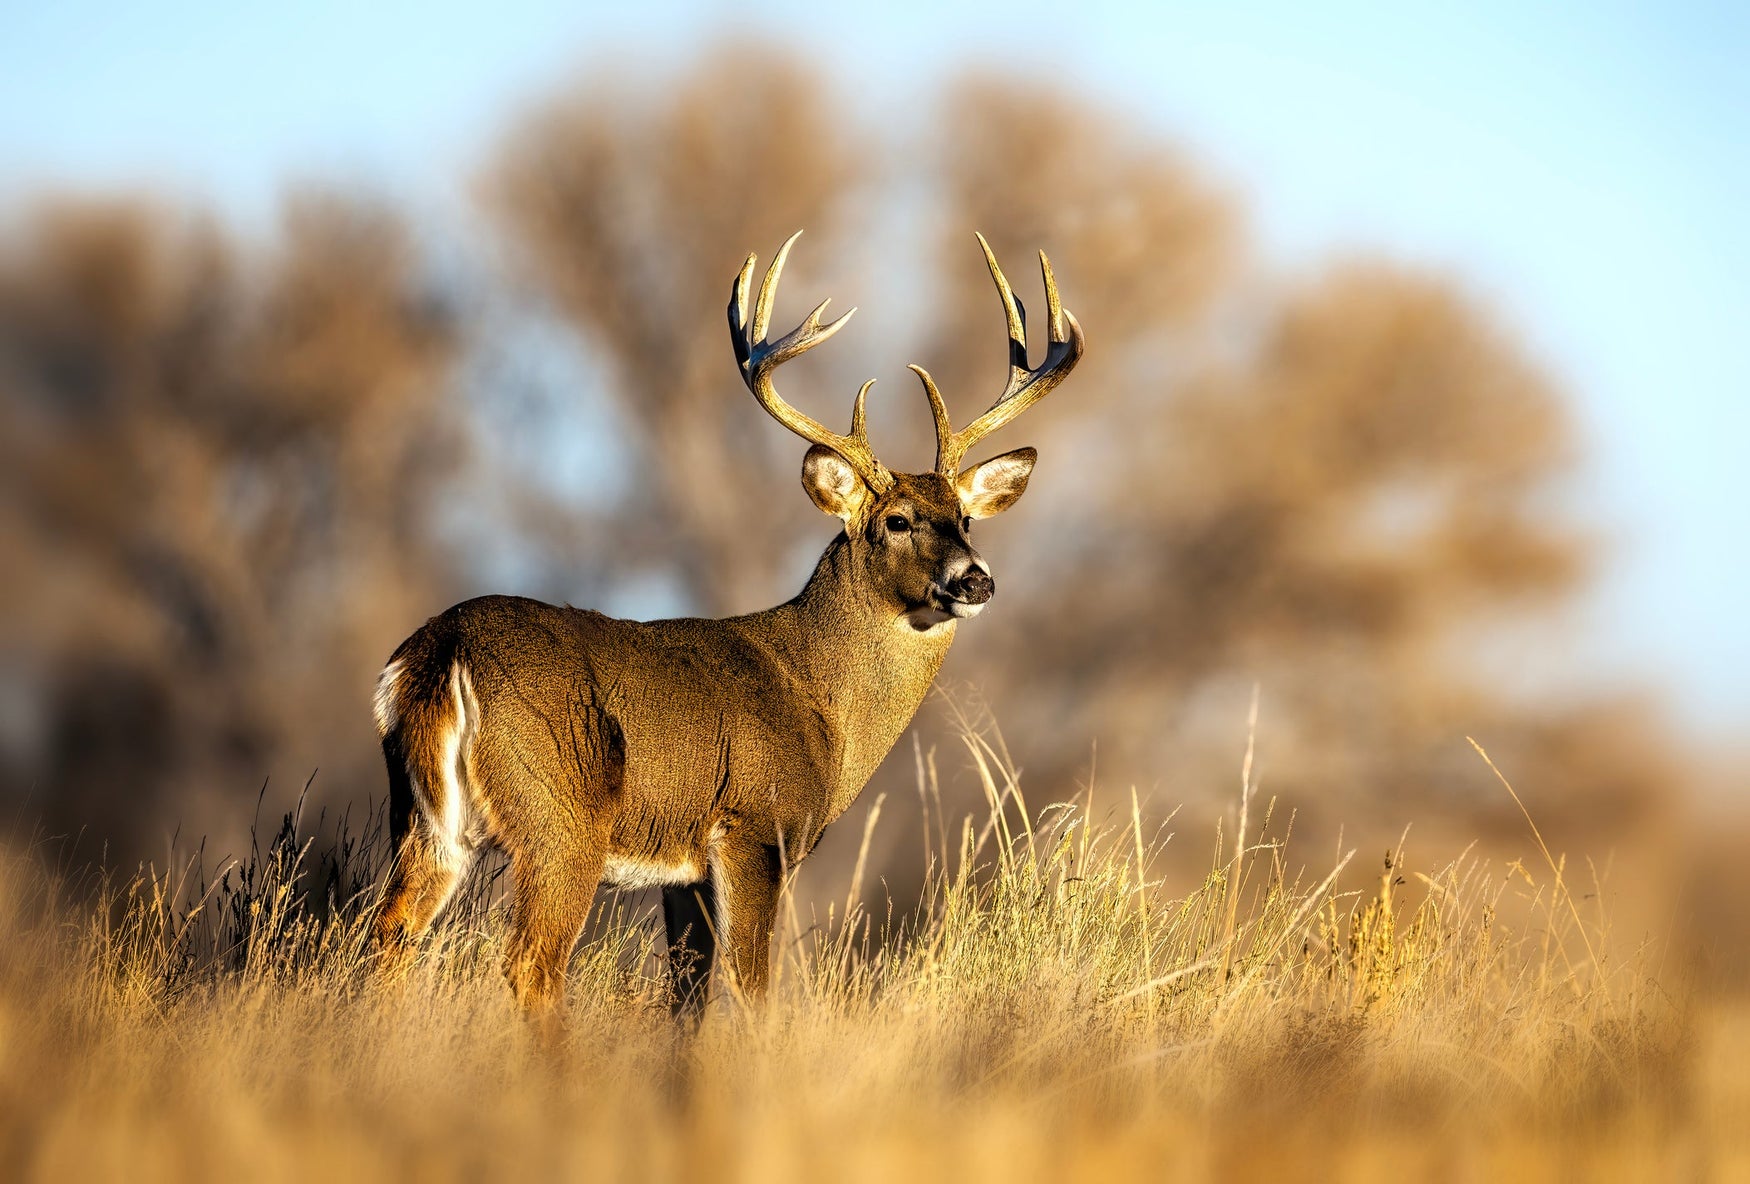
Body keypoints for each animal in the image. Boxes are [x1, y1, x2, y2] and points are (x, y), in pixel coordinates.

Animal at [370, 230, 1083, 1018]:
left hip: (426, 821)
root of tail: (442, 651)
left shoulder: (683, 872)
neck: (821, 704)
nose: (975, 579)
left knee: (387, 937)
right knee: (531, 963)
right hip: (560, 818)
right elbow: (750, 989)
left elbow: (687, 995)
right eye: (897, 520)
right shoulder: (752, 828)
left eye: (964, 519)